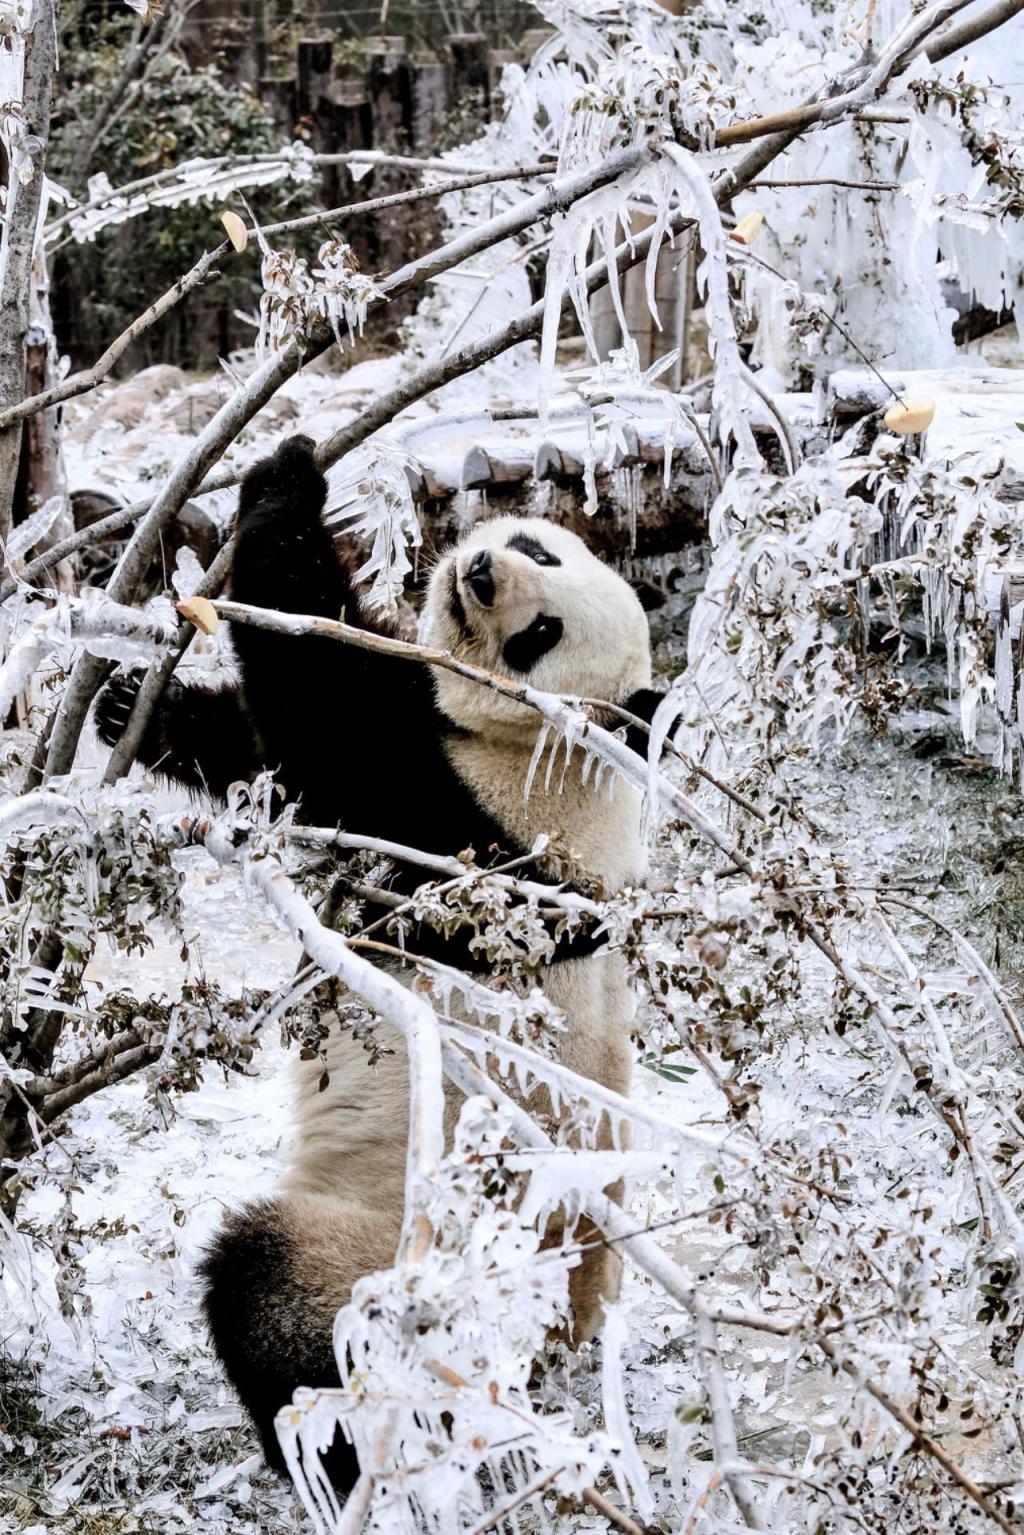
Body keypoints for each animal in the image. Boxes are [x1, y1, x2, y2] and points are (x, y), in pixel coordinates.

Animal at [94, 439, 657, 1492]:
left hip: (415, 1263)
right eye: (540, 547)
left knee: (279, 1290)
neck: (546, 740)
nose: (481, 574)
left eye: (541, 635)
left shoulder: (476, 842)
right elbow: (270, 761)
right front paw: (129, 706)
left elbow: (328, 721)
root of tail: (562, 1346)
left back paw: (324, 1450)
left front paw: (285, 480)